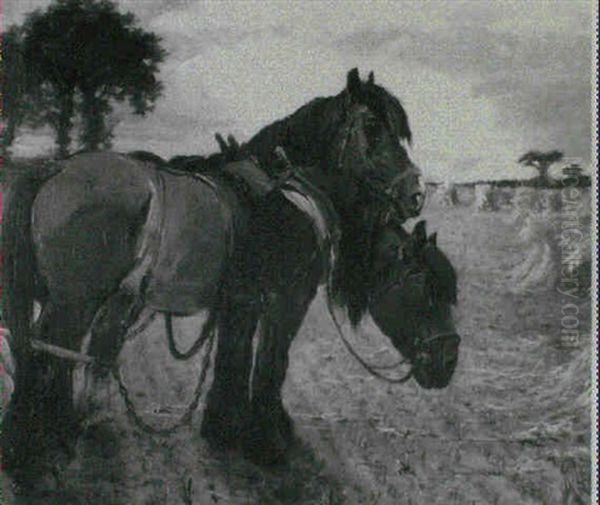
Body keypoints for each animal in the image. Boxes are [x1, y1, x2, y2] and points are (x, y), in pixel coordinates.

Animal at [2, 68, 460, 468]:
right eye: (372, 126)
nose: (415, 192)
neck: (294, 197)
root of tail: (56, 167)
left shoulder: (241, 301)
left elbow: (234, 357)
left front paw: (225, 427)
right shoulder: (285, 300)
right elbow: (273, 364)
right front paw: (267, 440)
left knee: (48, 350)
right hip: (74, 302)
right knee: (47, 349)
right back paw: (39, 437)